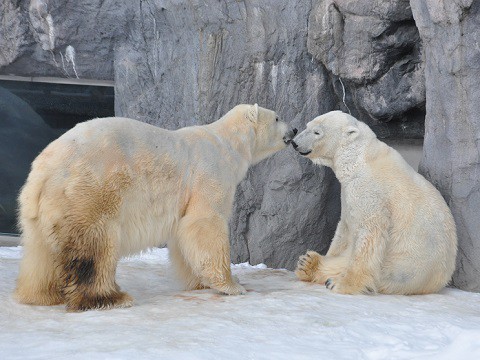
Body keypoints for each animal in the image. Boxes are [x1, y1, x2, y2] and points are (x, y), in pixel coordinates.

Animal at [15, 102, 296, 310]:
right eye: (277, 117)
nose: (293, 129)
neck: (228, 143)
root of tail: (44, 169)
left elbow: (184, 235)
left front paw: (202, 282)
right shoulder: (209, 173)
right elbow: (204, 223)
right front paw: (232, 284)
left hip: (43, 205)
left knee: (40, 250)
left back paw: (40, 295)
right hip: (90, 191)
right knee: (96, 244)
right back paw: (110, 298)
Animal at [292, 111, 458, 294]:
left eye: (317, 132)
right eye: (307, 126)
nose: (294, 143)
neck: (359, 158)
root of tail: (440, 280)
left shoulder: (370, 191)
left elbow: (369, 234)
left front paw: (342, 284)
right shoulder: (347, 194)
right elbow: (344, 229)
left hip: (402, 266)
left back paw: (323, 273)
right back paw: (308, 263)